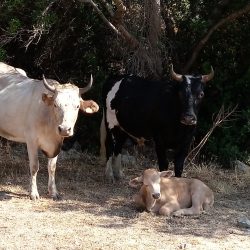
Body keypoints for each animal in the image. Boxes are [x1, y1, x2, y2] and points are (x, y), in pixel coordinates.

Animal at [0, 62, 99, 199]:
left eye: (77, 106)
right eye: (56, 105)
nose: (64, 129)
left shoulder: (57, 142)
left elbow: (52, 167)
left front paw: (53, 192)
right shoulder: (31, 140)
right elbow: (34, 166)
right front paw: (33, 193)